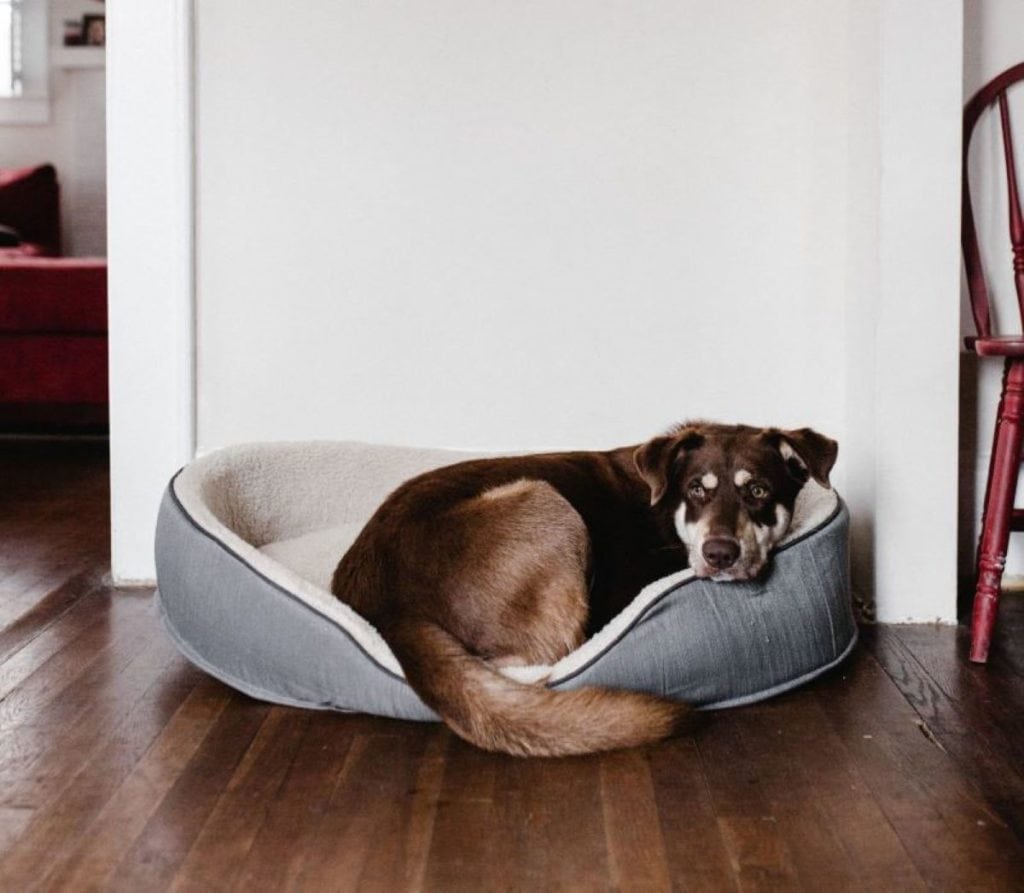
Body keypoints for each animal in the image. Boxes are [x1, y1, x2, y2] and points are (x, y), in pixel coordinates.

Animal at [331, 421, 835, 757]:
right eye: (696, 489)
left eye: (758, 491)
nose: (720, 554)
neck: (666, 511)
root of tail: (387, 607)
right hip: (546, 502)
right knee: (548, 657)